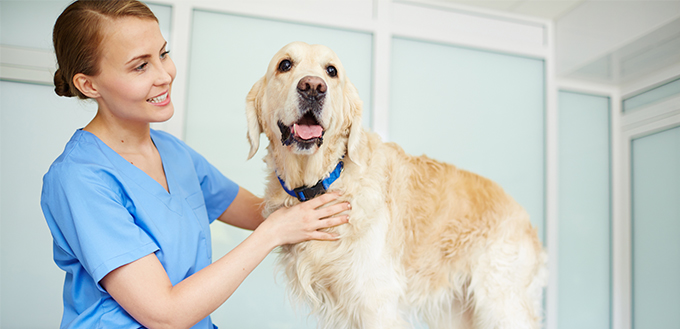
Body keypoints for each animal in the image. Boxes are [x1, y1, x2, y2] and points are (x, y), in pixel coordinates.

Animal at [244, 41, 548, 328]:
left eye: (331, 71)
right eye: (285, 64)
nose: (313, 87)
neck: (326, 180)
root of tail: (524, 216)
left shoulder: (375, 303)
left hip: (502, 303)